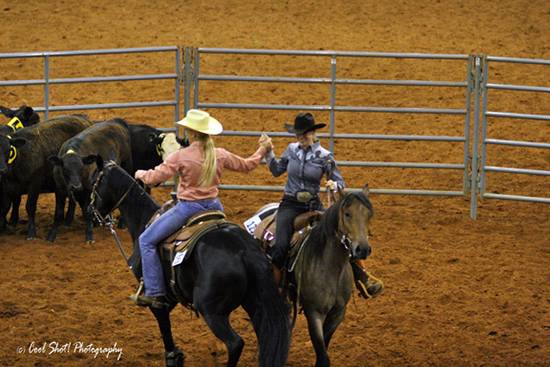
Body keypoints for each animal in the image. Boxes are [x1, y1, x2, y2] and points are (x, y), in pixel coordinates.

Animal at [88, 160, 292, 367]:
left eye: (95, 181)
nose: (91, 211)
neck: (143, 220)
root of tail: (243, 250)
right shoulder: (171, 296)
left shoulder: (157, 297)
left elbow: (163, 323)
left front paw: (172, 356)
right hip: (254, 302)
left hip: (210, 309)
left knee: (235, 343)